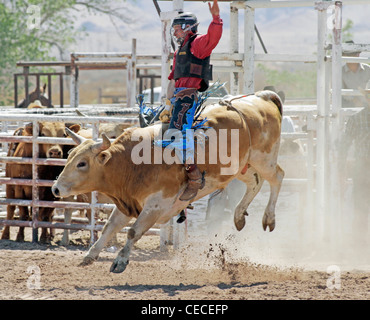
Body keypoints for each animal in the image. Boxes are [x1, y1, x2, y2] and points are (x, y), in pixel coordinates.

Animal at [51, 90, 284, 276]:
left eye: (82, 163)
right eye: (69, 155)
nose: (55, 188)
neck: (133, 163)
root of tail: (262, 97)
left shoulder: (156, 205)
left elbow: (133, 232)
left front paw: (120, 261)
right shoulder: (128, 203)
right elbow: (109, 227)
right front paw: (90, 256)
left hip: (264, 158)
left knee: (277, 177)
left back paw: (269, 218)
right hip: (242, 166)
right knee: (255, 181)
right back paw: (238, 216)